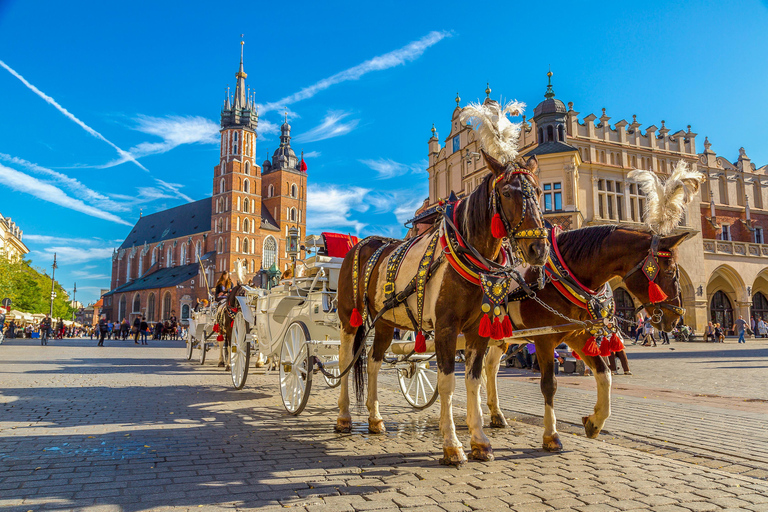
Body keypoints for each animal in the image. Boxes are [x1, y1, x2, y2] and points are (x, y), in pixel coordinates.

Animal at [334, 151, 544, 464]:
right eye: (507, 192)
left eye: (540, 192)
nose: (538, 250)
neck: (467, 256)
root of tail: (362, 244)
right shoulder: (446, 328)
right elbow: (447, 383)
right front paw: (452, 445)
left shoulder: (477, 331)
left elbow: (474, 381)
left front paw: (480, 441)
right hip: (350, 317)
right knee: (346, 359)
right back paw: (344, 417)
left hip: (384, 322)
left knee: (372, 362)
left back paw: (375, 419)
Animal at [486, 226, 688, 450]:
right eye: (670, 271)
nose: (676, 317)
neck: (560, 278)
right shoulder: (544, 339)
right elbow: (549, 385)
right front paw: (551, 435)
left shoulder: (578, 335)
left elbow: (604, 373)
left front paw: (595, 422)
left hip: (499, 338)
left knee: (490, 367)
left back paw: (496, 414)